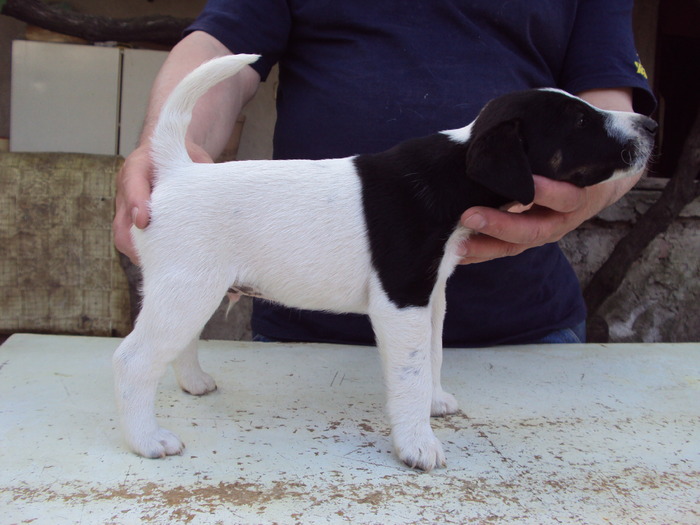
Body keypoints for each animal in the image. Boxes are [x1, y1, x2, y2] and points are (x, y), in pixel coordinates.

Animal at [113, 53, 656, 470]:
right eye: (580, 122)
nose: (651, 123)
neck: (454, 172)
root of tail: (177, 172)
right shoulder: (403, 300)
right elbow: (411, 373)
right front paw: (418, 443)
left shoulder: (431, 295)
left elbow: (433, 355)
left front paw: (434, 402)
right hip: (187, 290)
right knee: (134, 361)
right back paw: (147, 440)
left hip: (192, 292)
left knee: (178, 344)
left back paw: (194, 384)